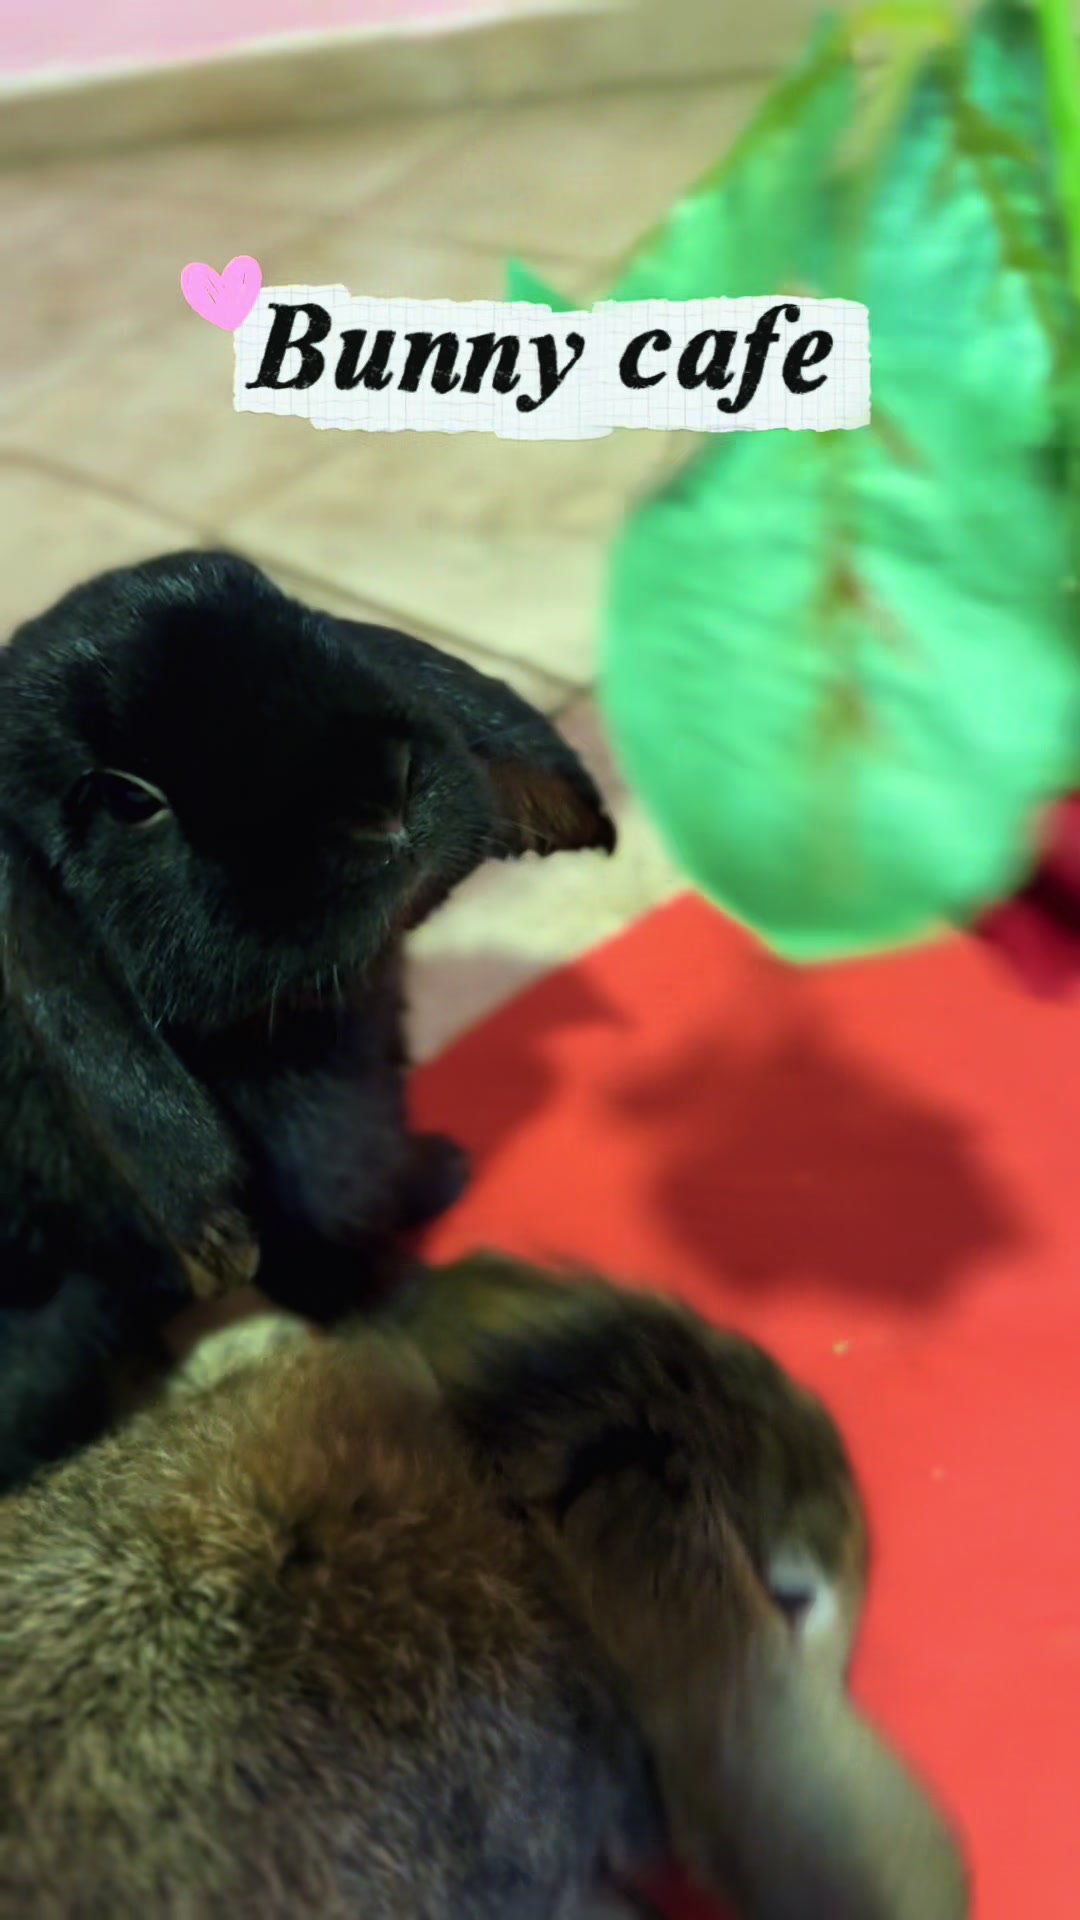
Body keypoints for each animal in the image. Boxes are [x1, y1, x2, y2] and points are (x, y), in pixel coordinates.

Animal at [0, 548, 615, 1489]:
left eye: (299, 618)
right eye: (129, 801)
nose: (384, 791)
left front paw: (444, 1173)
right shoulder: (294, 1209)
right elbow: (339, 1273)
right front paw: (424, 1305)